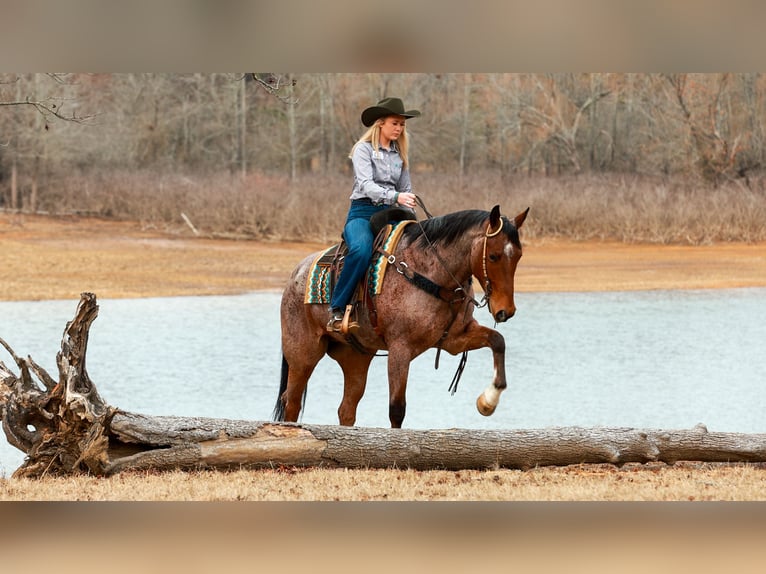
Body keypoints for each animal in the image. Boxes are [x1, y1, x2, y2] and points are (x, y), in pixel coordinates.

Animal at [273, 204, 529, 428]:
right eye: (493, 256)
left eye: (518, 255)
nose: (506, 310)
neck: (429, 274)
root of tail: (296, 273)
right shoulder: (400, 348)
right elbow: (397, 409)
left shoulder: (455, 340)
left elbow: (498, 341)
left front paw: (488, 401)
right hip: (303, 355)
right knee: (292, 403)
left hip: (355, 358)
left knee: (346, 409)